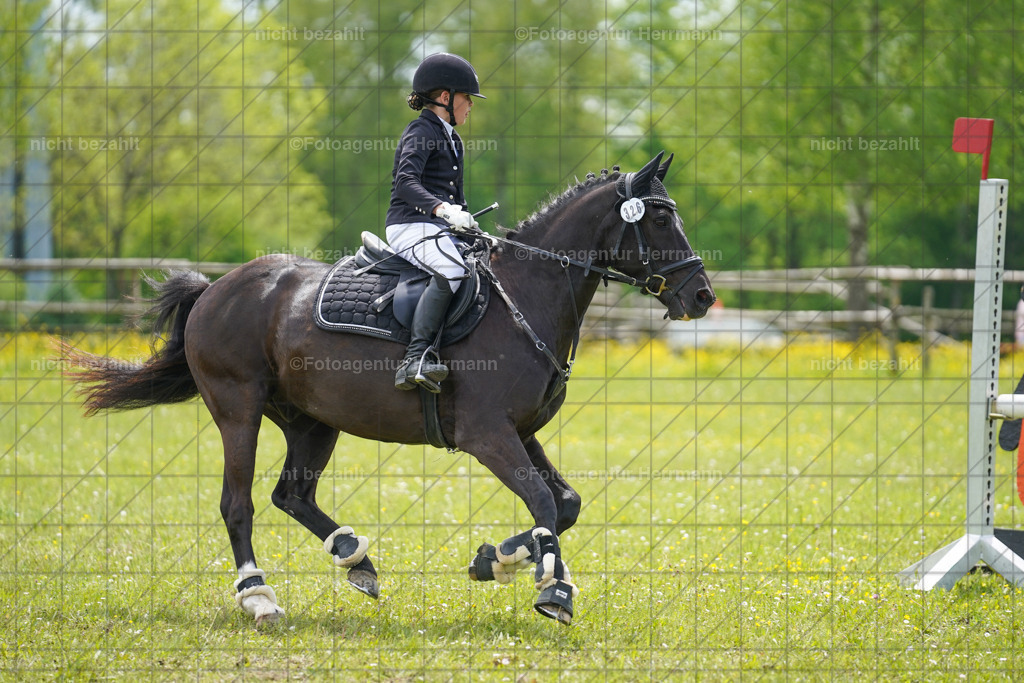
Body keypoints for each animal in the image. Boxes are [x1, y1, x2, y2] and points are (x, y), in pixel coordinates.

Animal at [63, 151, 716, 626]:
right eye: (661, 219)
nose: (703, 296)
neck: (525, 293)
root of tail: (217, 288)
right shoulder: (487, 434)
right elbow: (544, 503)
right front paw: (553, 592)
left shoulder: (522, 431)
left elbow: (565, 504)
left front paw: (495, 561)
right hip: (237, 410)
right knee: (238, 504)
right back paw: (260, 597)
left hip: (311, 421)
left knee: (290, 495)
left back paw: (357, 558)